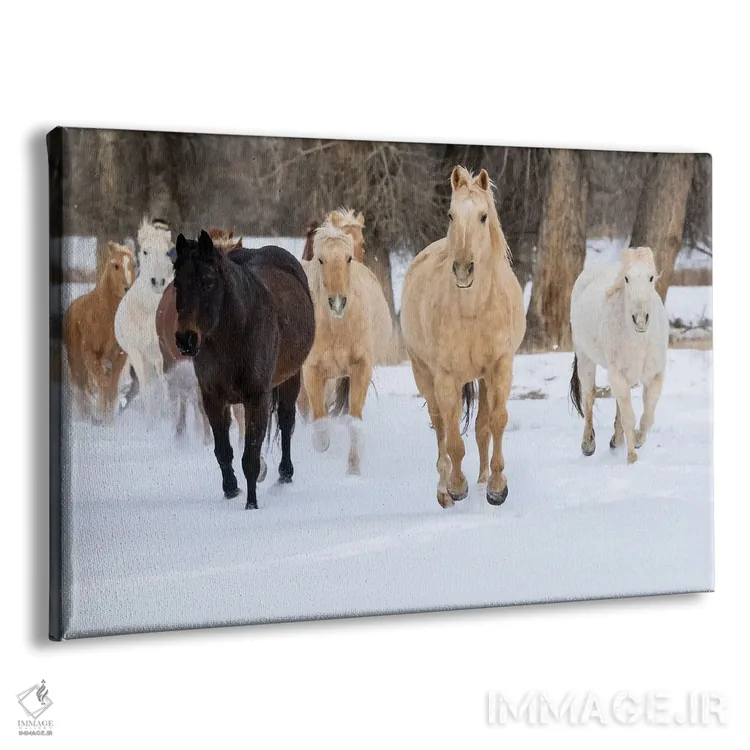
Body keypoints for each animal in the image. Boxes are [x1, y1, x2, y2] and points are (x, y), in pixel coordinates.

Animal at [63, 241, 136, 422]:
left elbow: (111, 388)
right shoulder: (90, 353)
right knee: (81, 387)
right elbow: (103, 384)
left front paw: (108, 420)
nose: (127, 288)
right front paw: (101, 416)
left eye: (133, 265)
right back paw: (84, 416)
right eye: (115, 265)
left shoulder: (119, 355)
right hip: (76, 360)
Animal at [172, 230, 315, 509]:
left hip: (291, 377)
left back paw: (285, 474)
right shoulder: (213, 398)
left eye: (207, 282)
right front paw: (230, 489)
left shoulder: (257, 397)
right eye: (176, 285)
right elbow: (223, 450)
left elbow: (250, 455)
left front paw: (251, 505)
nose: (186, 339)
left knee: (286, 421)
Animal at [301, 223, 392, 474]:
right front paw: (321, 445)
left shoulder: (361, 368)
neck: (337, 328)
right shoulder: (312, 370)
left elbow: (354, 422)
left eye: (348, 258)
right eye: (320, 259)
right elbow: (320, 421)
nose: (338, 303)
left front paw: (353, 469)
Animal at [400, 166, 526, 508]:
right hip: (423, 374)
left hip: (481, 377)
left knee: (481, 428)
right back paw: (444, 490)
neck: (473, 311)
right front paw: (457, 487)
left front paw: (496, 487)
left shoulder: (499, 367)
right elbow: (454, 439)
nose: (462, 270)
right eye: (450, 214)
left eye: (483, 216)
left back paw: (482, 480)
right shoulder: (446, 377)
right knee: (441, 426)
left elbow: (496, 421)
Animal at [569, 246, 668, 465]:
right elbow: (628, 416)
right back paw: (588, 445)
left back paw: (616, 441)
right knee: (589, 395)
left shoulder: (654, 375)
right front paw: (631, 457)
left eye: (651, 277)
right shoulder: (616, 374)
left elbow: (648, 416)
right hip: (585, 357)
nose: (640, 320)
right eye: (626, 279)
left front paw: (638, 440)